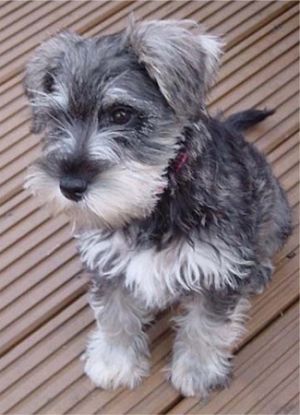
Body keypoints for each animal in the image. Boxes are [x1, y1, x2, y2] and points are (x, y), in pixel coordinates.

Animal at [24, 20, 292, 400]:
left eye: (121, 113)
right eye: (55, 117)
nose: (70, 186)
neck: (156, 201)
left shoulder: (215, 271)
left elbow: (204, 327)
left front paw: (197, 372)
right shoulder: (108, 265)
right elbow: (115, 315)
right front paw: (114, 363)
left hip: (276, 210)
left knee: (266, 242)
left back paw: (258, 271)